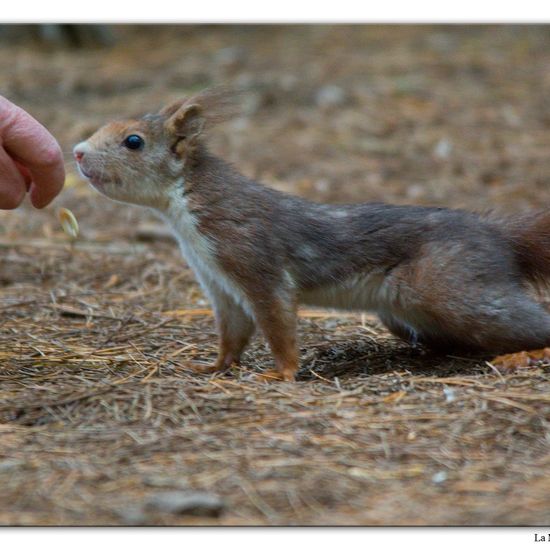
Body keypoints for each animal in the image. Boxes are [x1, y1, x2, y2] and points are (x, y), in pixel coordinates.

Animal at [73, 91, 550, 384]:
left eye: (133, 141)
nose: (77, 152)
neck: (184, 212)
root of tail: (498, 236)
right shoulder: (219, 284)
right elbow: (232, 333)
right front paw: (213, 367)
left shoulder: (253, 258)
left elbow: (277, 321)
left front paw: (281, 373)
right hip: (408, 314)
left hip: (454, 288)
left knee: (528, 322)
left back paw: (524, 355)